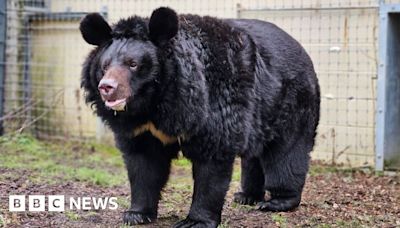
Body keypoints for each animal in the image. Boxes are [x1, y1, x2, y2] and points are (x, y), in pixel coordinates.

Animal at [79, 6, 320, 227]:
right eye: (104, 66)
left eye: (133, 64)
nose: (106, 88)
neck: (154, 104)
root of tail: (301, 48)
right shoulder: (140, 129)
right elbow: (143, 165)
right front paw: (136, 214)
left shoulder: (213, 105)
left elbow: (211, 164)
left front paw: (195, 221)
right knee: (254, 155)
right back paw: (246, 196)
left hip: (292, 102)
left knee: (287, 152)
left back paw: (277, 201)